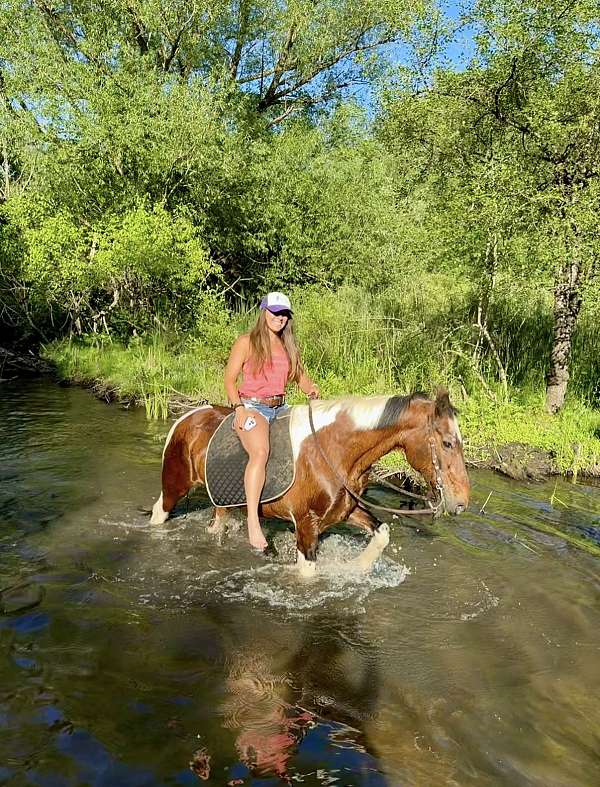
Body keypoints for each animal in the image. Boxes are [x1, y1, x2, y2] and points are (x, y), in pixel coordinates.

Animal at [150, 390, 470, 577]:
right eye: (447, 442)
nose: (461, 502)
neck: (333, 452)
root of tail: (188, 417)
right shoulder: (306, 524)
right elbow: (308, 574)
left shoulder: (346, 511)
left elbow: (382, 534)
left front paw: (355, 568)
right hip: (174, 486)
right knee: (159, 512)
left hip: (222, 502)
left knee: (216, 525)